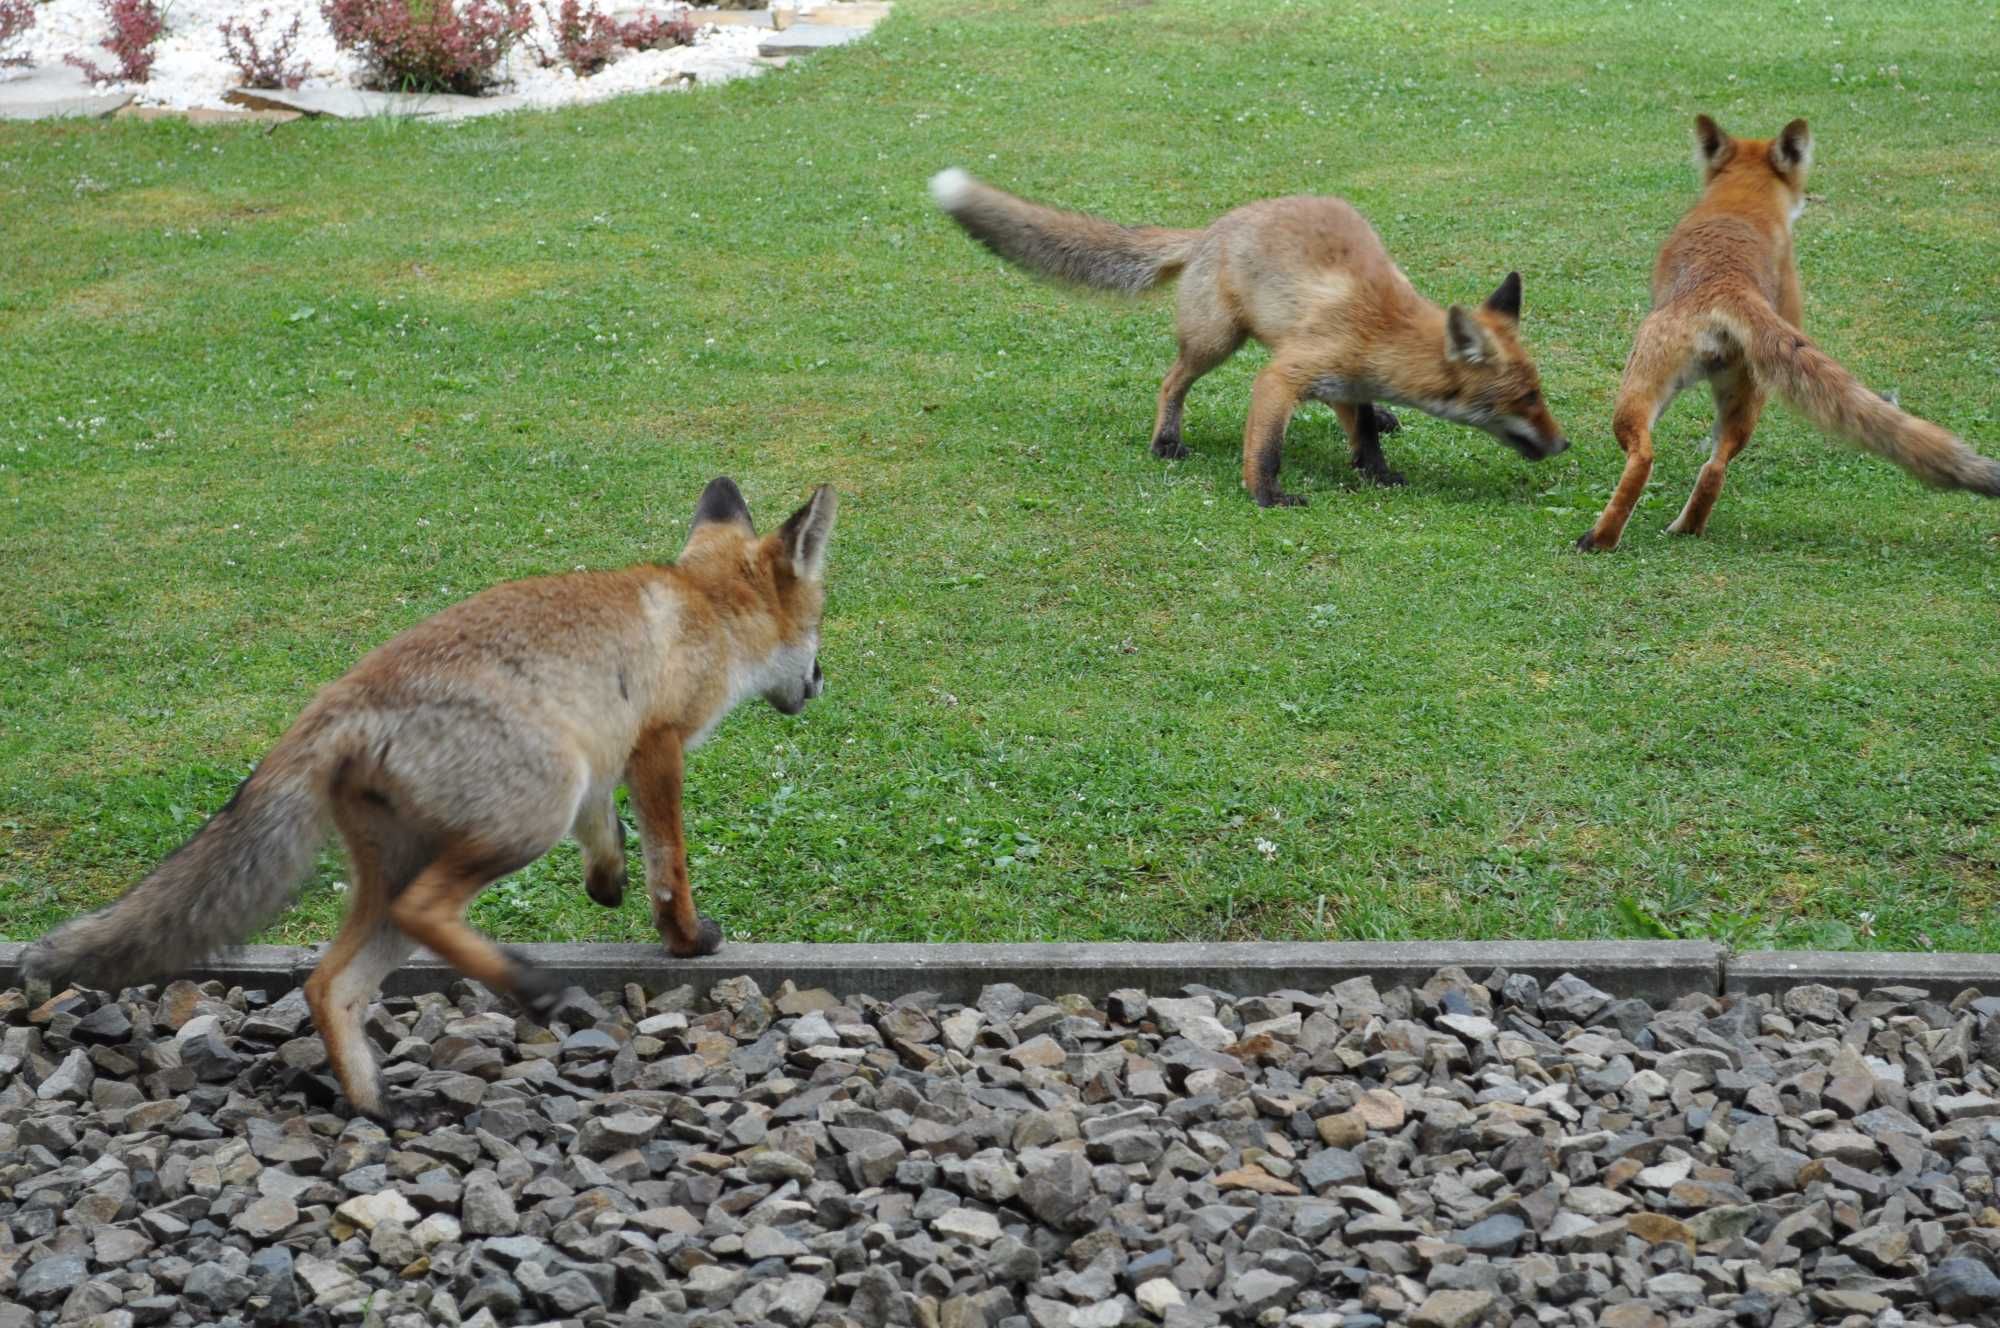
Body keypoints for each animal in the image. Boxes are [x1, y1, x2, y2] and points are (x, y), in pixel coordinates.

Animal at [23, 478, 836, 1120]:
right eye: (820, 624)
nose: (823, 680)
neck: (707, 611)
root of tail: (337, 700)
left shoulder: (601, 760)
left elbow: (606, 833)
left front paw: (607, 883)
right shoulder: (655, 747)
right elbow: (671, 864)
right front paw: (685, 938)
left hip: (403, 867)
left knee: (328, 983)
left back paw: (374, 1105)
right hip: (523, 820)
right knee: (424, 913)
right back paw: (526, 986)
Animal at [928, 162, 1568, 504]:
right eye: (1525, 399)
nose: (1564, 445)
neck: (1384, 328)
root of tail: (1215, 226)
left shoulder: (1346, 382)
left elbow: (1364, 431)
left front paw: (1377, 471)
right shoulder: (1284, 376)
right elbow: (1266, 448)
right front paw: (1266, 495)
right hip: (1216, 341)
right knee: (1171, 381)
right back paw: (1166, 440)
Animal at [1576, 114, 2000, 548]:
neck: (1742, 200)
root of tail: (1728, 290)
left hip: (1637, 392)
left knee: (1646, 458)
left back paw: (1600, 538)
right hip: (1740, 406)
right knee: (1714, 469)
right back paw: (1684, 527)